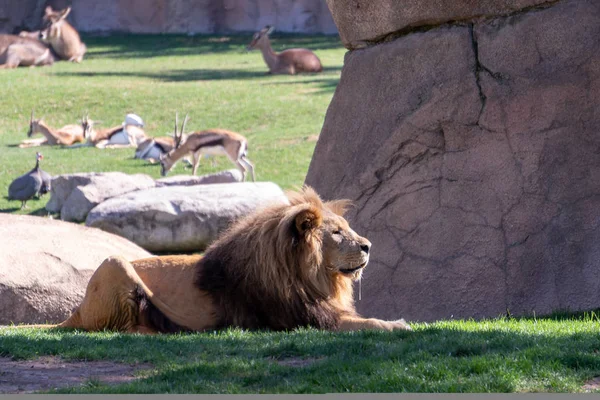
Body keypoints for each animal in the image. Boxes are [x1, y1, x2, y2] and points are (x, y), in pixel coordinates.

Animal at [16, 186, 410, 332]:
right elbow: (365, 323)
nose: (368, 245)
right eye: (337, 233)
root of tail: (77, 309)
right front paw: (398, 325)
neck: (308, 275)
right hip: (114, 263)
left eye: (347, 229)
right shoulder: (301, 319)